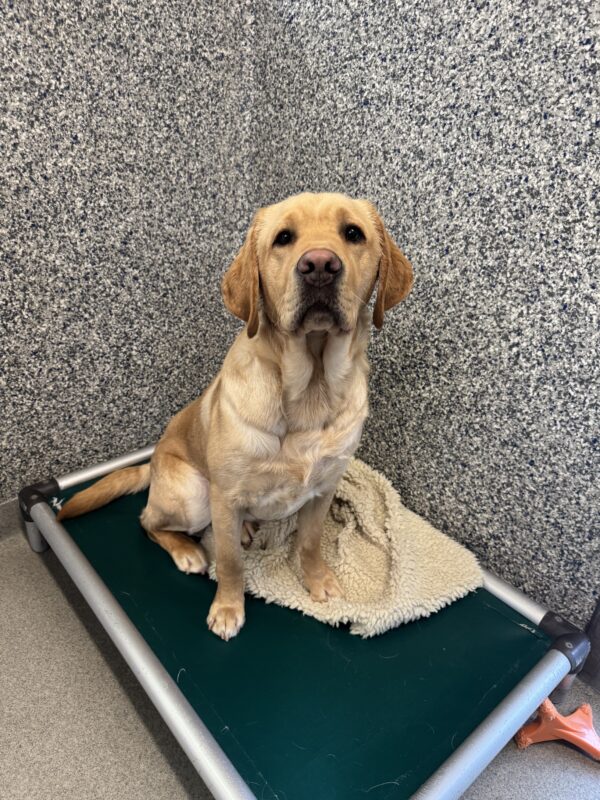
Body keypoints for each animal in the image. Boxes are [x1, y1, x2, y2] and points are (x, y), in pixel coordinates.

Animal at [57, 192, 413, 640]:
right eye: (284, 238)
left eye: (353, 233)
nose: (319, 265)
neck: (310, 388)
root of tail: (152, 464)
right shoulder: (224, 498)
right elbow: (229, 564)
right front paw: (228, 608)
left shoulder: (323, 489)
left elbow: (310, 543)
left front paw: (318, 580)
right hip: (193, 495)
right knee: (148, 521)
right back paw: (188, 551)